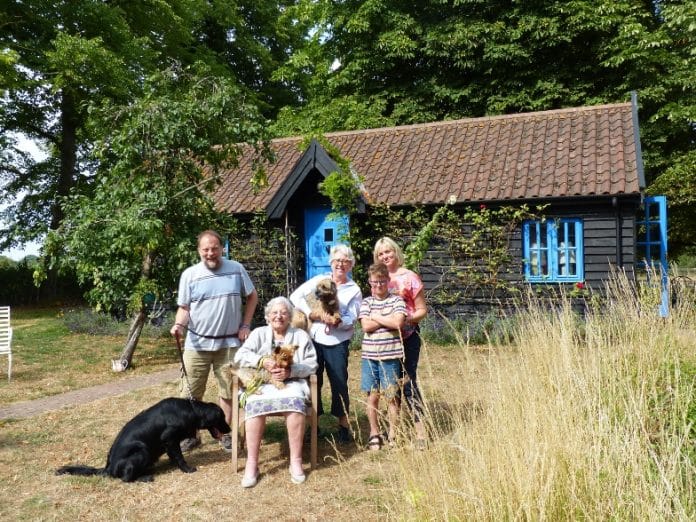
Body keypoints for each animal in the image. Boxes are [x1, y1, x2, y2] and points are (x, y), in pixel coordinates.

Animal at [56, 398, 230, 480]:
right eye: (222, 418)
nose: (230, 429)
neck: (190, 410)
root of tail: (108, 468)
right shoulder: (170, 439)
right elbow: (179, 457)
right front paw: (187, 469)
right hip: (142, 450)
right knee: (125, 478)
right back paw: (144, 477)